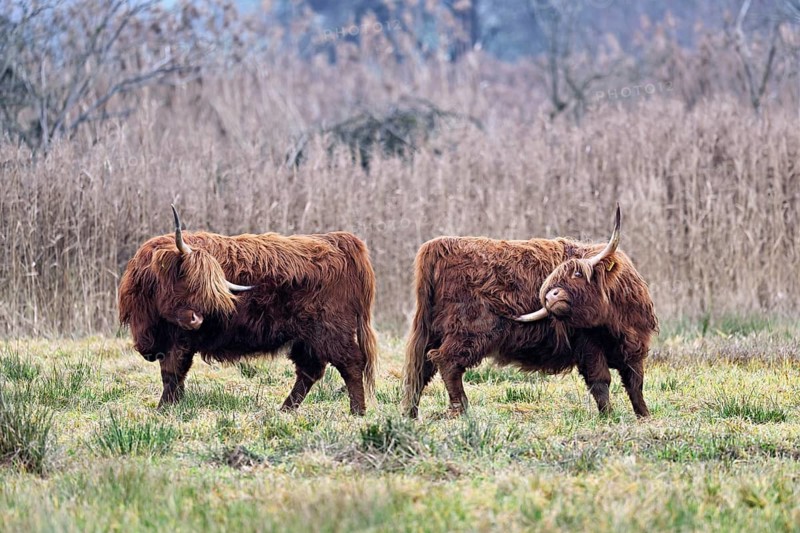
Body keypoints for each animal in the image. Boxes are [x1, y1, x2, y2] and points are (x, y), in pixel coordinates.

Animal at [118, 205, 378, 415]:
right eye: (184, 277)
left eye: (201, 284)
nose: (196, 320)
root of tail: (338, 240)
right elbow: (174, 375)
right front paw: (172, 405)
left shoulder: (178, 339)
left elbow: (171, 374)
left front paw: (163, 409)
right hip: (307, 338)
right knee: (309, 371)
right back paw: (284, 410)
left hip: (331, 330)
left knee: (351, 365)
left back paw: (357, 412)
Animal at [401, 205, 657, 419]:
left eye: (576, 274)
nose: (550, 296)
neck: (615, 321)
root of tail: (440, 245)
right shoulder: (588, 344)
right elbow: (601, 380)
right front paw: (609, 416)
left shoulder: (635, 346)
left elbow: (635, 382)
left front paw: (643, 415)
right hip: (469, 330)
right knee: (445, 360)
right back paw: (460, 409)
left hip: (432, 330)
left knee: (420, 368)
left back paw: (410, 414)